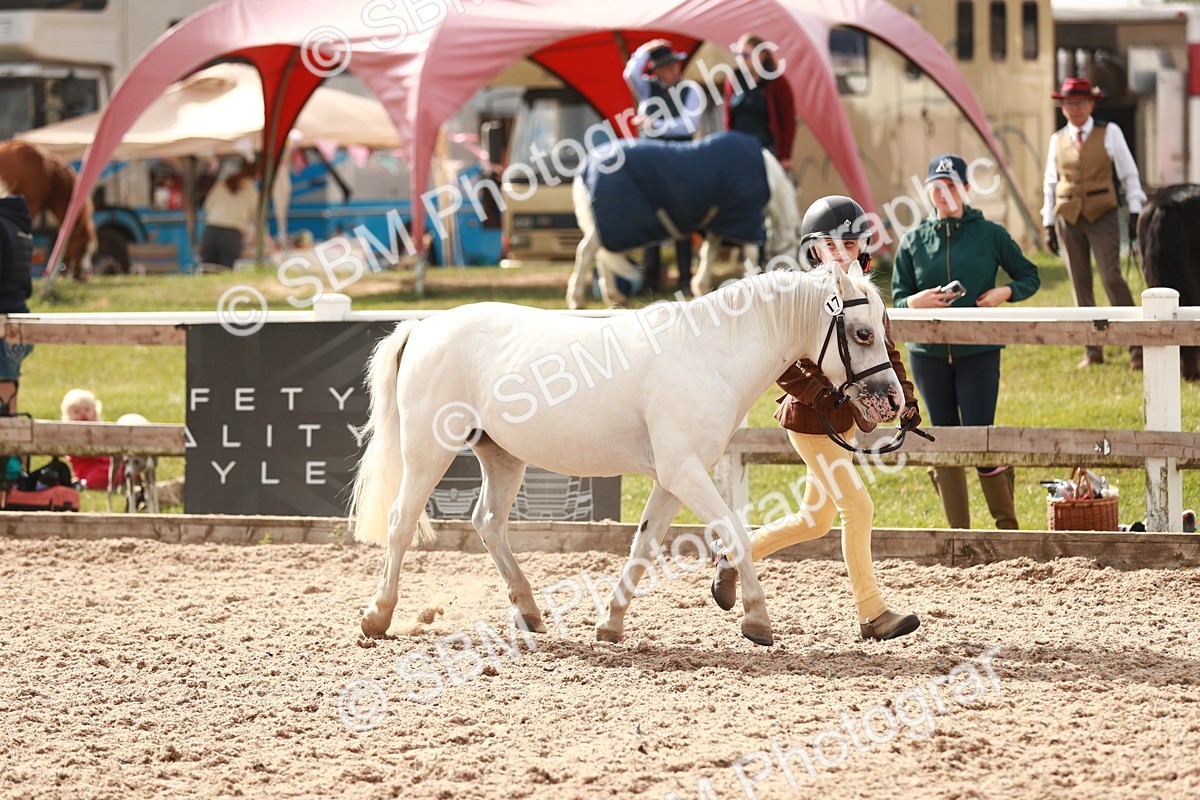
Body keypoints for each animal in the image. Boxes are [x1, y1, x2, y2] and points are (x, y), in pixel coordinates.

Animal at [350, 264, 904, 647]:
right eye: (862, 332)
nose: (894, 401)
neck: (710, 354)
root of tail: (424, 328)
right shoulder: (685, 472)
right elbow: (735, 532)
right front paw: (756, 619)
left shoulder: (671, 479)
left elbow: (643, 544)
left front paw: (611, 625)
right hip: (428, 450)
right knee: (401, 523)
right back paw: (377, 616)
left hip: (502, 455)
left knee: (488, 523)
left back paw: (529, 612)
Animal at [567, 131, 801, 309]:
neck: (768, 177)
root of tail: (586, 167)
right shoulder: (746, 217)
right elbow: (750, 253)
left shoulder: (721, 220)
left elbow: (710, 253)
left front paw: (701, 286)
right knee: (585, 253)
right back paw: (577, 299)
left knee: (600, 256)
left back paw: (613, 297)